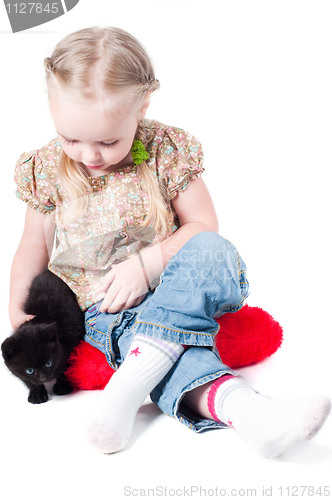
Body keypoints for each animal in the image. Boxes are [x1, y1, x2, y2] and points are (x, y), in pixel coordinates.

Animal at [1, 272, 84, 404]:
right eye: (30, 371)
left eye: (49, 364)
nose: (44, 378)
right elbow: (27, 380)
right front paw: (36, 394)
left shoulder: (69, 343)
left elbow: (64, 366)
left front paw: (63, 386)